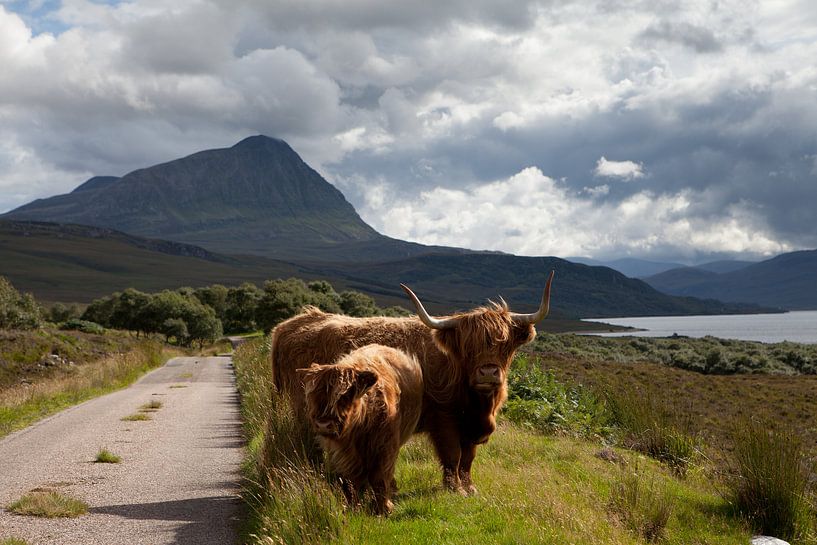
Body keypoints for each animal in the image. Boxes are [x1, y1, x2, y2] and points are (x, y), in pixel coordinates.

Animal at [274, 270, 556, 492]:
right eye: (467, 346)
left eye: (504, 343)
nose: (488, 373)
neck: (479, 404)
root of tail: (288, 325)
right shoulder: (444, 418)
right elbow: (453, 455)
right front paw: (455, 488)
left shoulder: (470, 425)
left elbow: (468, 458)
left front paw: (469, 487)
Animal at [298, 344, 424, 516]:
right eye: (313, 397)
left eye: (344, 397)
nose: (324, 424)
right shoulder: (342, 452)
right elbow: (350, 481)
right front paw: (353, 507)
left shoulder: (385, 447)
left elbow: (379, 477)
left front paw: (383, 509)